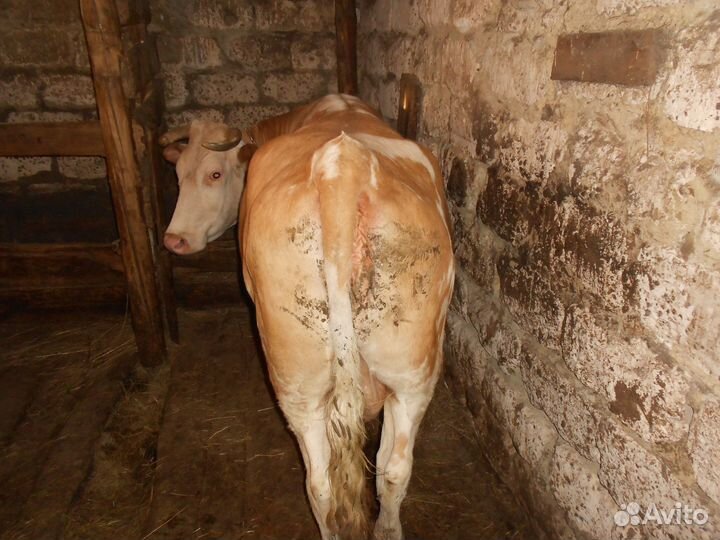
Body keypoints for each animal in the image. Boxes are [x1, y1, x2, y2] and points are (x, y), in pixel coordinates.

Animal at [160, 94, 455, 540]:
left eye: (214, 174)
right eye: (177, 175)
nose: (173, 240)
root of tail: (341, 167)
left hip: (319, 382)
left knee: (334, 482)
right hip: (406, 372)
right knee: (379, 474)